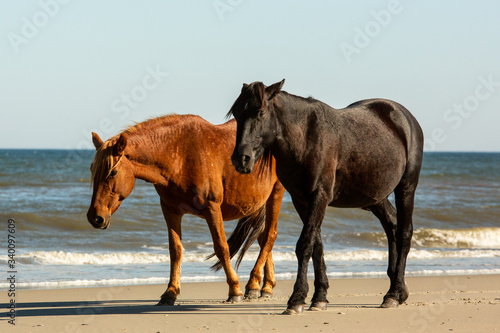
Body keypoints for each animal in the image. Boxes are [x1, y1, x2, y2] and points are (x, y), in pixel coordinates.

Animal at [86, 114, 286, 304]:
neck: (181, 156)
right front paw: (170, 293)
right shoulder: (170, 210)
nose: (94, 217)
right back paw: (263, 286)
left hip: (275, 193)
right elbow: (175, 251)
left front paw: (234, 289)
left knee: (270, 235)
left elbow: (221, 247)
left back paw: (254, 284)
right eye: (92, 170)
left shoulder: (212, 208)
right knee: (262, 237)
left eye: (113, 172)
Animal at [229, 79, 424, 312]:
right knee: (391, 225)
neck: (306, 138)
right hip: (374, 197)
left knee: (404, 232)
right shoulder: (301, 200)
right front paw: (319, 297)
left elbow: (305, 245)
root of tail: (404, 116)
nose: (241, 159)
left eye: (260, 112)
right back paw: (399, 289)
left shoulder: (319, 196)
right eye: (237, 113)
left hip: (406, 187)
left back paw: (393, 293)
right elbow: (317, 246)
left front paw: (296, 299)